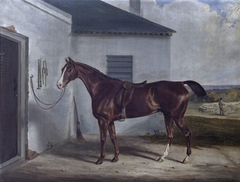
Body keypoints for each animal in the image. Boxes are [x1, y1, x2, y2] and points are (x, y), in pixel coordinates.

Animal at [56, 57, 206, 165]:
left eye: (69, 70)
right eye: (63, 69)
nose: (59, 84)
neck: (102, 88)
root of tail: (181, 83)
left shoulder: (103, 120)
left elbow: (103, 139)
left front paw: (100, 160)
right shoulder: (110, 121)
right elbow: (113, 138)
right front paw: (115, 158)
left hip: (177, 117)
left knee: (187, 134)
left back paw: (186, 159)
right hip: (168, 116)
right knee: (170, 135)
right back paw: (162, 157)